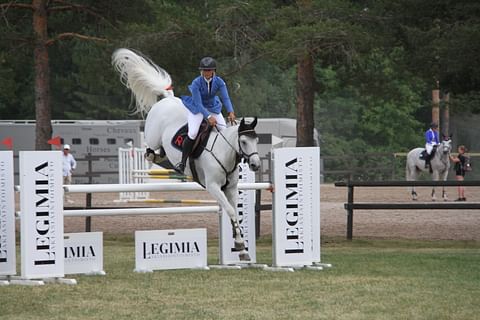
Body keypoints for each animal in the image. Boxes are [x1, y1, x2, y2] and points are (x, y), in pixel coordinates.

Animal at [112, 48, 260, 262]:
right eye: (244, 142)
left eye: (256, 140)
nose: (256, 164)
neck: (224, 152)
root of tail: (167, 99)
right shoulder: (213, 187)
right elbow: (231, 211)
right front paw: (240, 246)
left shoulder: (231, 189)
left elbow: (234, 214)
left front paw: (242, 249)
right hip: (153, 135)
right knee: (150, 148)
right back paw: (154, 157)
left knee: (162, 152)